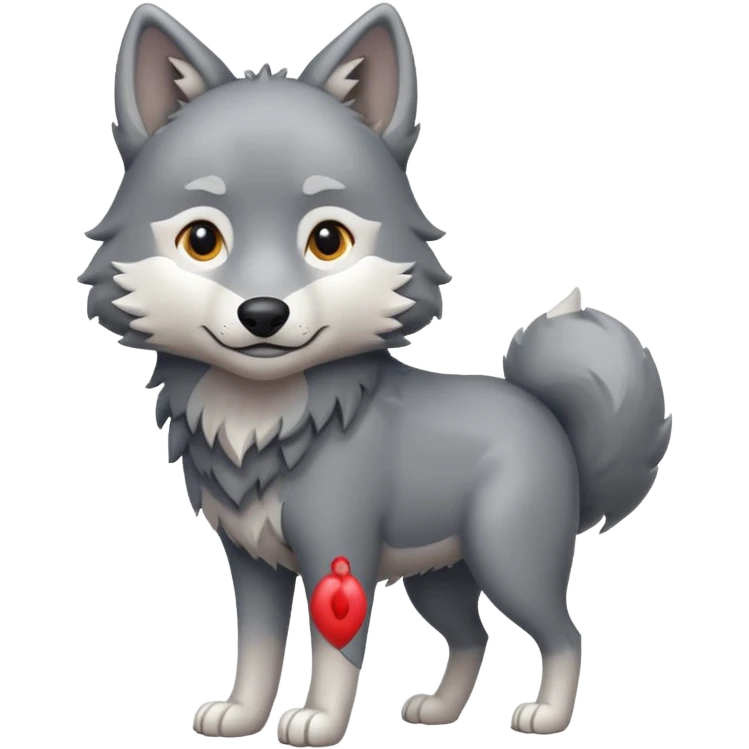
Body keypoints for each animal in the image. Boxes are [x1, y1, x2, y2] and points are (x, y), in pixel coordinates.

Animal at [79, 2, 673, 744]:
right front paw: (241, 713)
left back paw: (548, 714)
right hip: (440, 575)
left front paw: (318, 720)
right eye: (202, 240)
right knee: (473, 636)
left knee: (565, 633)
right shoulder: (252, 562)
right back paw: (439, 711)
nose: (263, 313)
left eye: (327, 240)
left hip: (509, 560)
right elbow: (257, 647)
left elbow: (335, 651)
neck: (264, 418)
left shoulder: (340, 550)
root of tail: (543, 410)